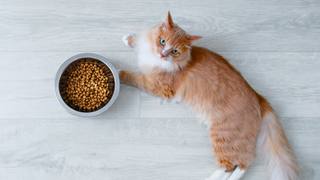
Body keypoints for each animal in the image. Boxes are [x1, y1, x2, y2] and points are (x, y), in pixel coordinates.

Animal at [119, 11, 298, 180]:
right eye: (162, 41)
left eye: (175, 51)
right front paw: (129, 39)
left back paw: (210, 178)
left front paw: (119, 73)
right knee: (242, 163)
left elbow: (133, 77)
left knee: (235, 164)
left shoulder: (159, 86)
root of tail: (258, 96)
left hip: (223, 136)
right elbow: (139, 40)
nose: (162, 55)